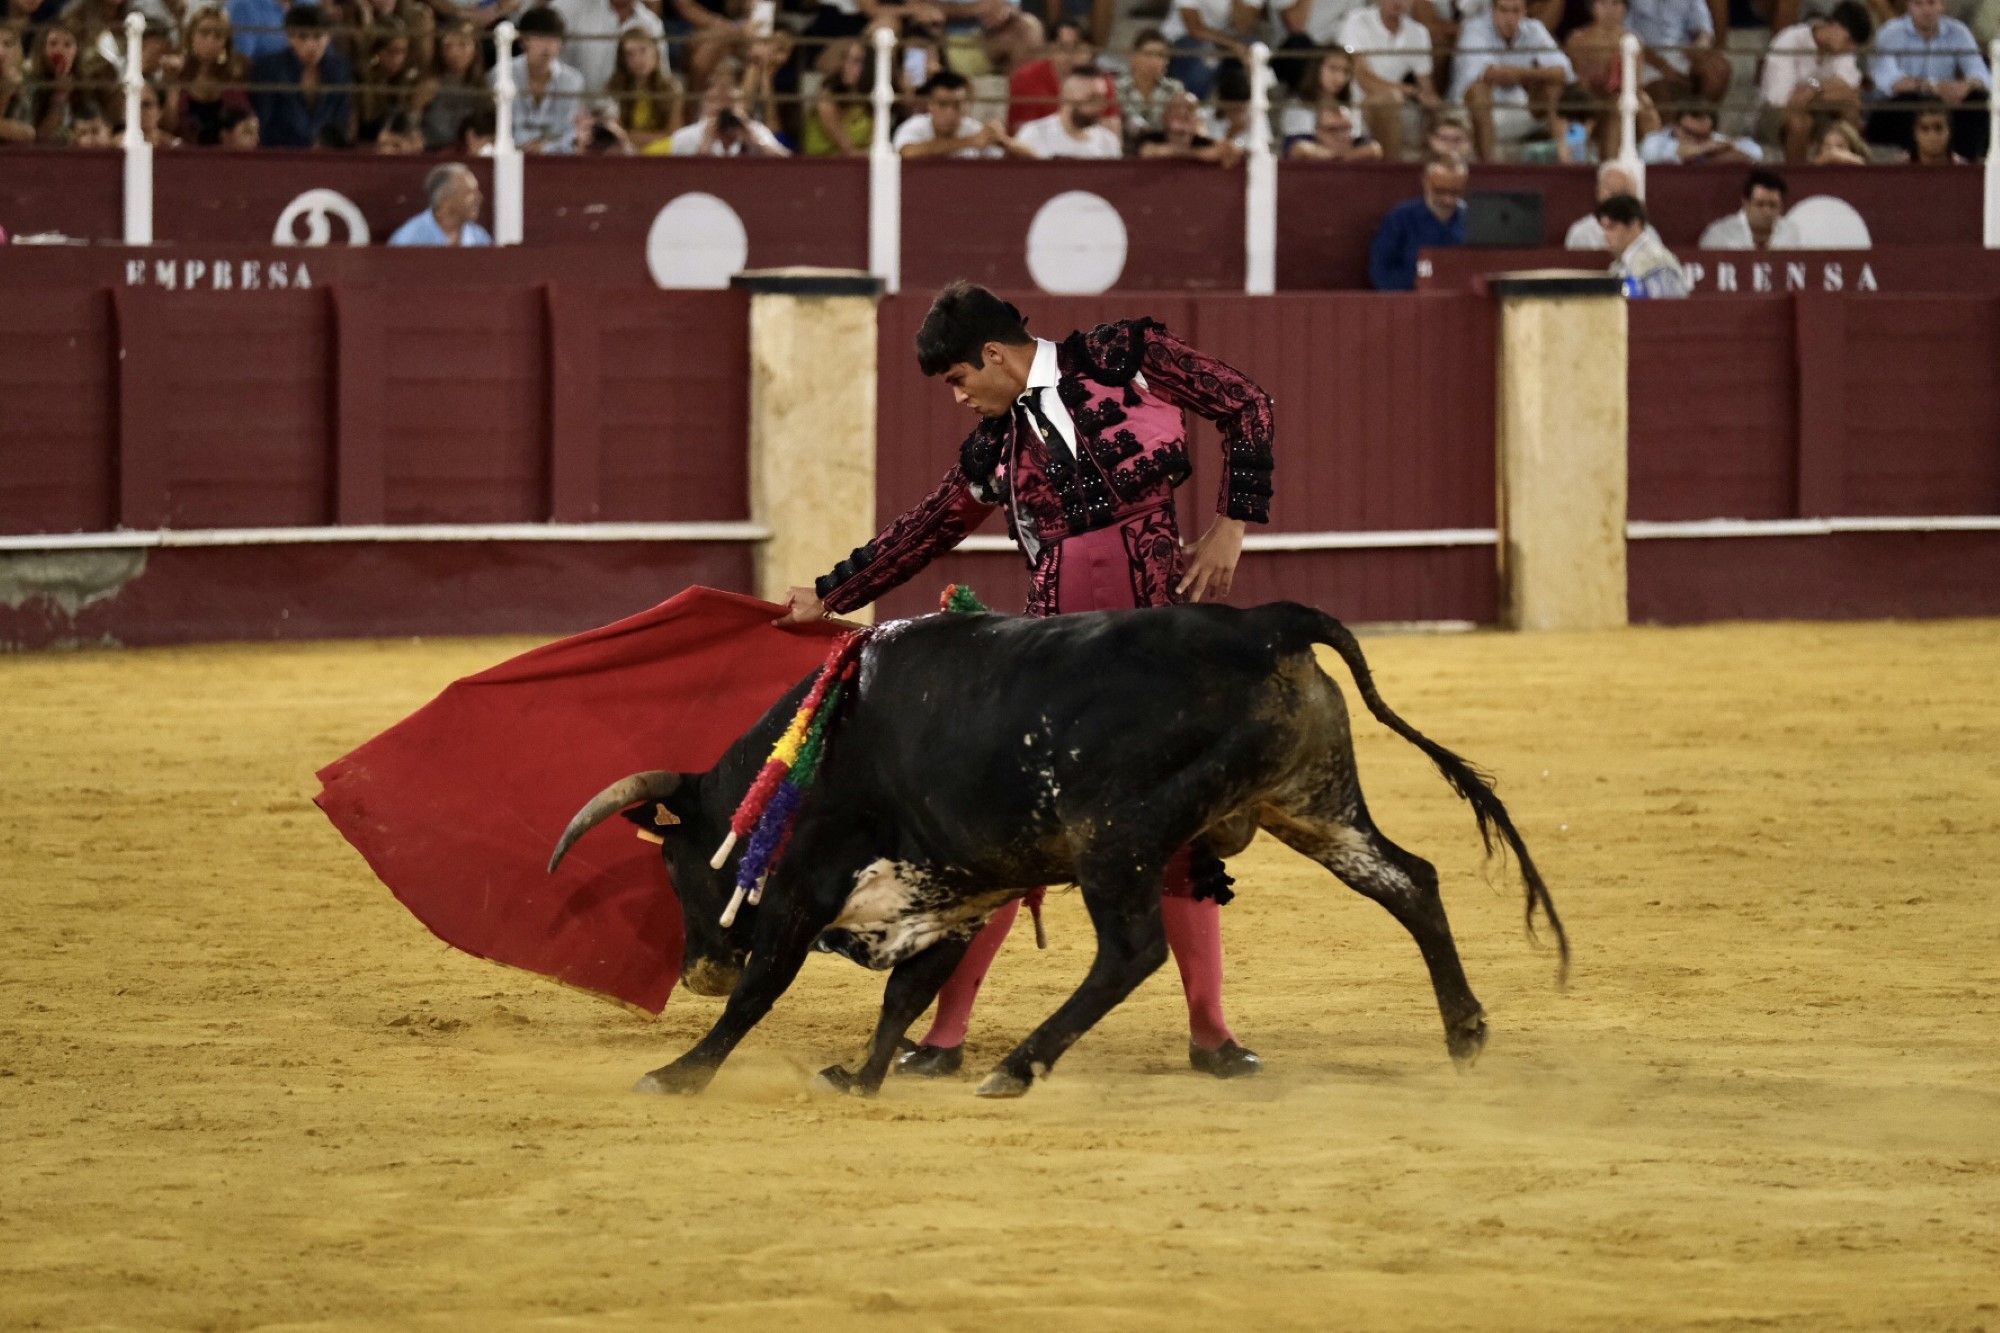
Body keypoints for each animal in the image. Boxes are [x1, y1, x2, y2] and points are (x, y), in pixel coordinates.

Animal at [548, 600, 1560, 1088]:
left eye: (674, 863)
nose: (695, 971)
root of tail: (1265, 619)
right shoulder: (953, 890)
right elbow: (908, 995)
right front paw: (861, 1077)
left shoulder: (807, 891)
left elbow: (766, 991)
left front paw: (678, 1074)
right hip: (1312, 802)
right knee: (1409, 880)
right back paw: (1466, 1030)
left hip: (1116, 840)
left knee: (1135, 950)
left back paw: (1019, 1066)